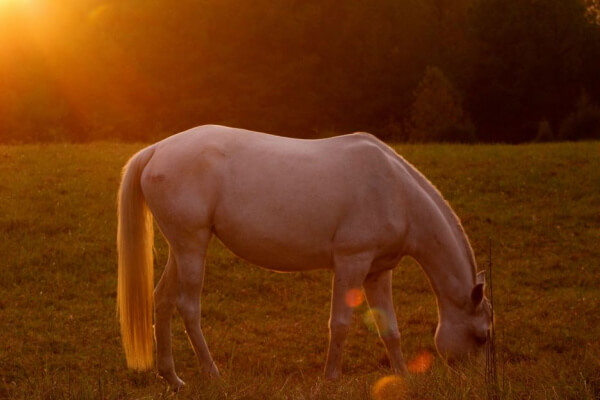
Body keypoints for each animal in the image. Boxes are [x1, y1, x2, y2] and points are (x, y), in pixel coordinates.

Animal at [116, 125, 492, 390]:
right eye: (481, 337)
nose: (470, 381)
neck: (396, 191)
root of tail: (156, 150)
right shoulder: (352, 263)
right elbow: (340, 323)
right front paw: (332, 378)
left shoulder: (377, 272)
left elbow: (390, 330)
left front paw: (403, 376)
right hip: (192, 246)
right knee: (188, 307)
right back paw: (212, 374)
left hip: (181, 249)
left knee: (162, 301)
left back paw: (173, 378)